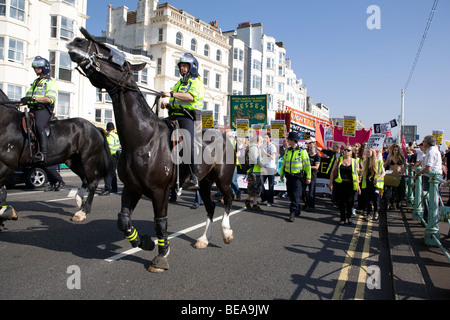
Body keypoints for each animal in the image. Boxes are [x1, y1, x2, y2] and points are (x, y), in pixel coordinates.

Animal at [0, 88, 112, 225]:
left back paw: (82, 212)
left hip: (88, 161)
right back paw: (79, 202)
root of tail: (96, 128)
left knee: (92, 183)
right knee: (86, 181)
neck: (8, 123)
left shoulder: (7, 165)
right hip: (75, 162)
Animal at [67, 28, 236, 272]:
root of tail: (225, 137)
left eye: (114, 56)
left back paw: (226, 233)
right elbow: (123, 220)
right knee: (211, 206)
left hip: (222, 179)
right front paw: (143, 242)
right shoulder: (132, 187)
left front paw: (161, 256)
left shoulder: (159, 191)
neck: (143, 139)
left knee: (229, 199)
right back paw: (203, 239)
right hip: (204, 182)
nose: (78, 40)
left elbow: (160, 223)